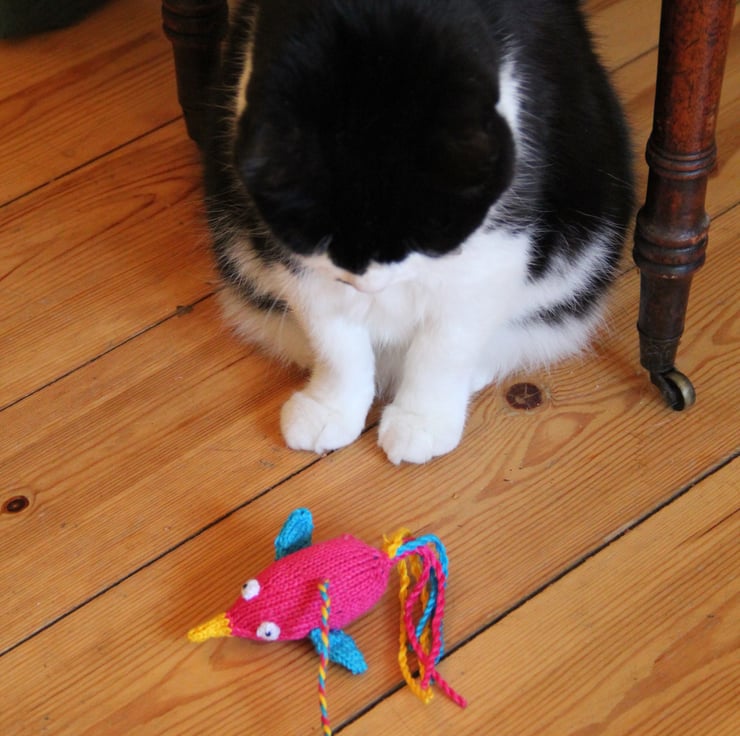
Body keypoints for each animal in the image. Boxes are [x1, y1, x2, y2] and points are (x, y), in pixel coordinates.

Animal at [203, 0, 634, 464]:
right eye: (320, 241)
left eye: (423, 237)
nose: (367, 285)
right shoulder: (299, 262)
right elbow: (335, 344)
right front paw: (330, 409)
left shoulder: (493, 248)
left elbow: (444, 348)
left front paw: (422, 420)